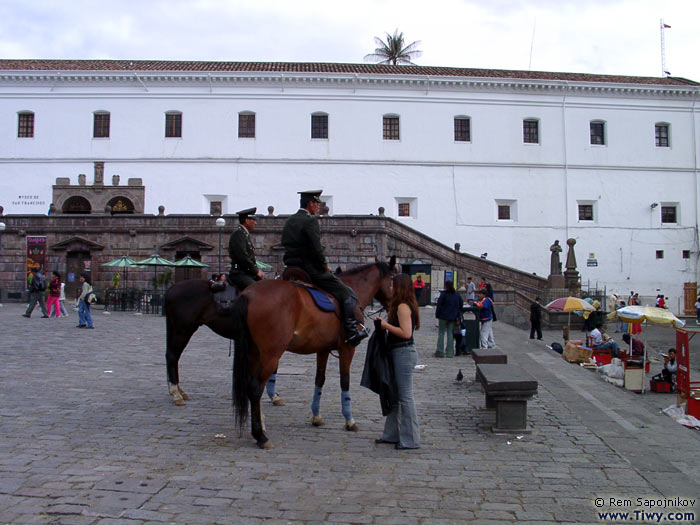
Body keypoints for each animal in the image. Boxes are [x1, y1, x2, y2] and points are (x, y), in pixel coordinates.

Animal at [231, 256, 394, 448]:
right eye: (394, 280)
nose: (393, 306)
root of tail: (249, 294)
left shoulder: (322, 349)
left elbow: (319, 379)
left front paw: (316, 417)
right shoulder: (347, 349)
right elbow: (345, 382)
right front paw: (349, 420)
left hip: (254, 352)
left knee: (249, 386)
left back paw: (260, 426)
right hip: (271, 354)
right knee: (256, 388)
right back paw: (260, 436)